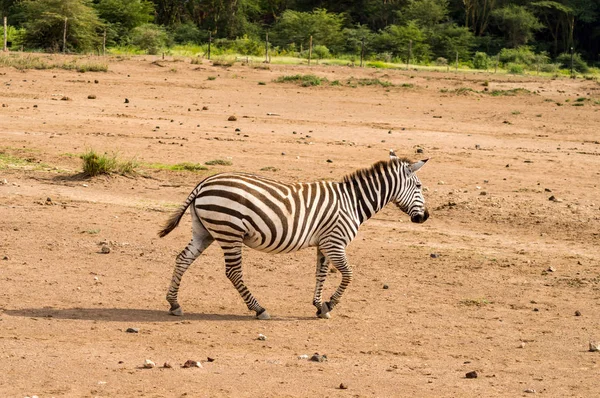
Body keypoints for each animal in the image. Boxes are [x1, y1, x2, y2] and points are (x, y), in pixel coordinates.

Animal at [157, 150, 428, 320]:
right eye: (418, 186)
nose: (424, 217)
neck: (353, 201)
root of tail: (203, 183)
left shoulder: (324, 244)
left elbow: (320, 274)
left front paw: (320, 306)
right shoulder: (335, 242)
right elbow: (349, 275)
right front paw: (331, 303)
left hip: (205, 231)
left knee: (182, 259)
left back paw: (174, 303)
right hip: (229, 231)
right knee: (233, 272)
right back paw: (259, 309)